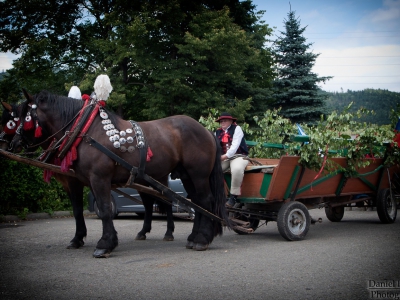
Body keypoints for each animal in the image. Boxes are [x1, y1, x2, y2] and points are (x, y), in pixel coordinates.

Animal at [10, 89, 228, 258]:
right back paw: (194, 237)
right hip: (186, 174)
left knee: (205, 201)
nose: (12, 143)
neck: (86, 130)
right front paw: (93, 239)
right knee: (197, 203)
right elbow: (89, 209)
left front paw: (104, 244)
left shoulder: (99, 178)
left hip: (198, 174)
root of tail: (207, 131)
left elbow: (106, 208)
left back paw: (202, 239)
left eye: (24, 117)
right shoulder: (86, 181)